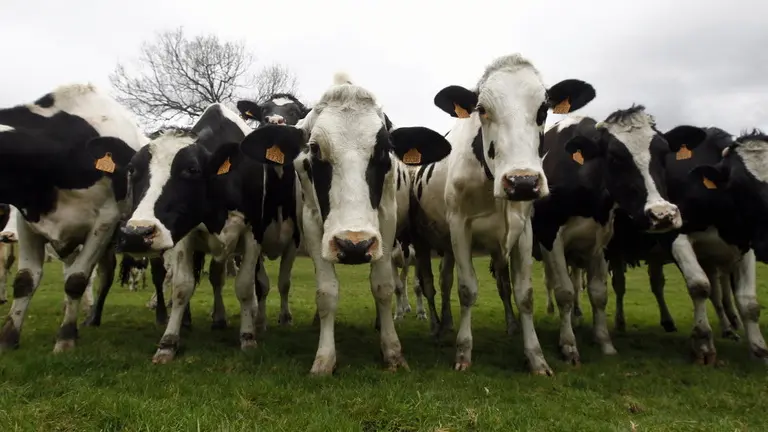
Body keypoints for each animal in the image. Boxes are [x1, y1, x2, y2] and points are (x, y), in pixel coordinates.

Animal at [0, 83, 147, 354]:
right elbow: (25, 280)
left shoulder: (105, 221)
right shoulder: (28, 221)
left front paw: (66, 338)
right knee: (104, 273)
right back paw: (92, 317)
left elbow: (76, 280)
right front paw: (8, 337)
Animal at [86, 101, 302, 363]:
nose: (137, 233)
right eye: (132, 170)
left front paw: (248, 337)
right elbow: (182, 286)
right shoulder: (183, 236)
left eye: (192, 169)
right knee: (211, 278)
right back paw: (201, 319)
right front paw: (168, 342)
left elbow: (244, 287)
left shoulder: (253, 234)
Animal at [237, 72, 452, 374]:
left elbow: (383, 287)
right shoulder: (313, 226)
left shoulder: (386, 222)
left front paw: (393, 351)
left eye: (384, 149)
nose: (354, 245)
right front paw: (324, 358)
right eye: (314, 148)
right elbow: (326, 292)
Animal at [407, 53, 596, 374]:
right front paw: (463, 351)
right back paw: (436, 328)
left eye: (543, 109)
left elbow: (523, 294)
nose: (522, 182)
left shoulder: (524, 231)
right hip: (423, 242)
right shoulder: (459, 227)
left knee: (447, 283)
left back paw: (452, 324)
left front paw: (536, 356)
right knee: (430, 285)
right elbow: (467, 290)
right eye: (482, 110)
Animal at [530, 107, 707, 365]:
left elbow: (599, 294)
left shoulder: (601, 244)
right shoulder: (549, 237)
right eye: (614, 157)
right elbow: (564, 292)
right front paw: (568, 345)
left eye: (664, 153)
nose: (662, 214)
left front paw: (604, 342)